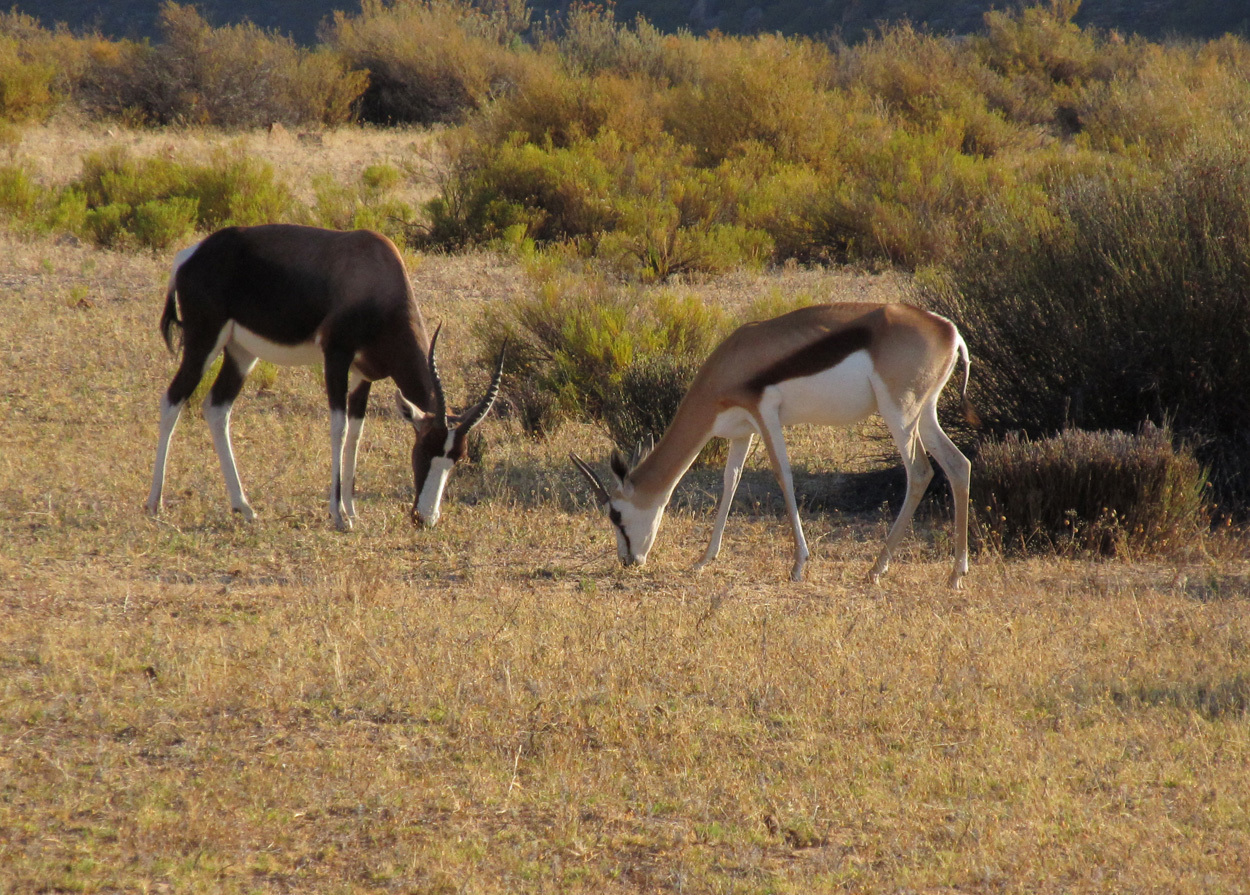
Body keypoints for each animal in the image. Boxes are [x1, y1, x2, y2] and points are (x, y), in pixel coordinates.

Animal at [143, 225, 502, 532]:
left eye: (457, 458)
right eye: (425, 450)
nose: (425, 518)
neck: (376, 272)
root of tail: (191, 255)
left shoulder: (363, 375)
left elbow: (356, 433)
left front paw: (352, 511)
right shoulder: (336, 359)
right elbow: (338, 429)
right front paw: (338, 515)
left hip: (241, 353)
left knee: (217, 408)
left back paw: (244, 508)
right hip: (204, 342)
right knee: (172, 400)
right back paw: (154, 504)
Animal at [572, 303, 975, 587]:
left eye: (615, 514)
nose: (627, 561)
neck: (733, 361)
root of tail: (949, 331)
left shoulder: (765, 414)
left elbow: (784, 476)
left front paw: (798, 566)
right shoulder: (742, 431)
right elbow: (730, 484)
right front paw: (703, 560)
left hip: (899, 412)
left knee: (919, 471)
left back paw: (876, 569)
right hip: (925, 413)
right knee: (958, 465)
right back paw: (955, 574)